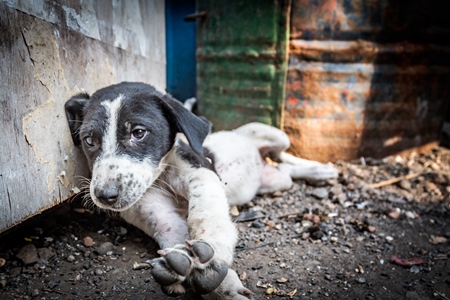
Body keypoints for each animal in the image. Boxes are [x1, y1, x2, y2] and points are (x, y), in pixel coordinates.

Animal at [65, 82, 336, 300]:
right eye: (89, 140)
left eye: (138, 133)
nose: (104, 196)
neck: (160, 176)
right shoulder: (158, 215)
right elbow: (175, 238)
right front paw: (203, 277)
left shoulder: (200, 171)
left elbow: (207, 214)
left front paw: (212, 255)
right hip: (277, 181)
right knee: (284, 168)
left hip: (272, 133)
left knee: (284, 154)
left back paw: (323, 169)